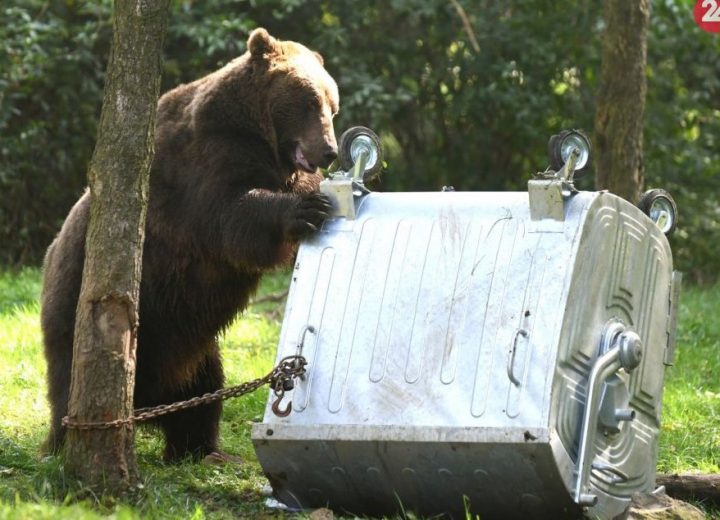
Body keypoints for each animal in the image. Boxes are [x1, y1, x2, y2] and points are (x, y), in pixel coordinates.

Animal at [40, 27, 338, 460]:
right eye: (311, 101)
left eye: (333, 105)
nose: (329, 150)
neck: (258, 136)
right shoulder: (202, 169)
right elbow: (232, 217)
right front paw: (306, 208)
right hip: (78, 306)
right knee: (68, 380)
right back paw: (61, 443)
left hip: (185, 340)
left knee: (203, 389)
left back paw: (199, 447)